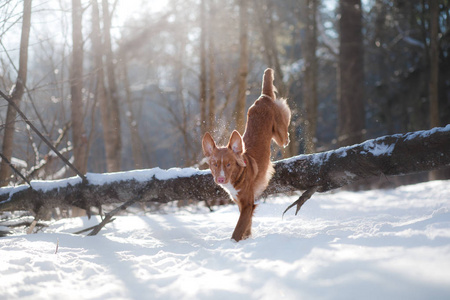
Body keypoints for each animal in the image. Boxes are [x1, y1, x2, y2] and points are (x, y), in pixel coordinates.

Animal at [201, 68, 292, 241]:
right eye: (214, 164)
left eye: (228, 164)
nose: (220, 179)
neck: (238, 175)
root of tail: (263, 97)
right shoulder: (240, 203)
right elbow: (247, 225)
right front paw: (247, 239)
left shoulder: (248, 204)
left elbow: (238, 229)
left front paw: (233, 243)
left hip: (280, 134)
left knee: (286, 133)